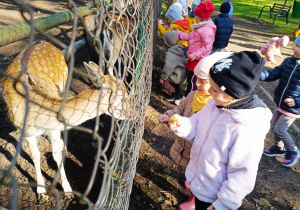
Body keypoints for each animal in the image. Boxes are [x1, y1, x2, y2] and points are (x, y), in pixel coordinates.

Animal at [1, 41, 130, 200]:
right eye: (123, 98)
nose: (135, 113)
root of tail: (43, 41)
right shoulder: (26, 131)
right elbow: (35, 155)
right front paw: (41, 190)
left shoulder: (53, 127)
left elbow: (56, 154)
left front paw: (68, 190)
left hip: (63, 84)